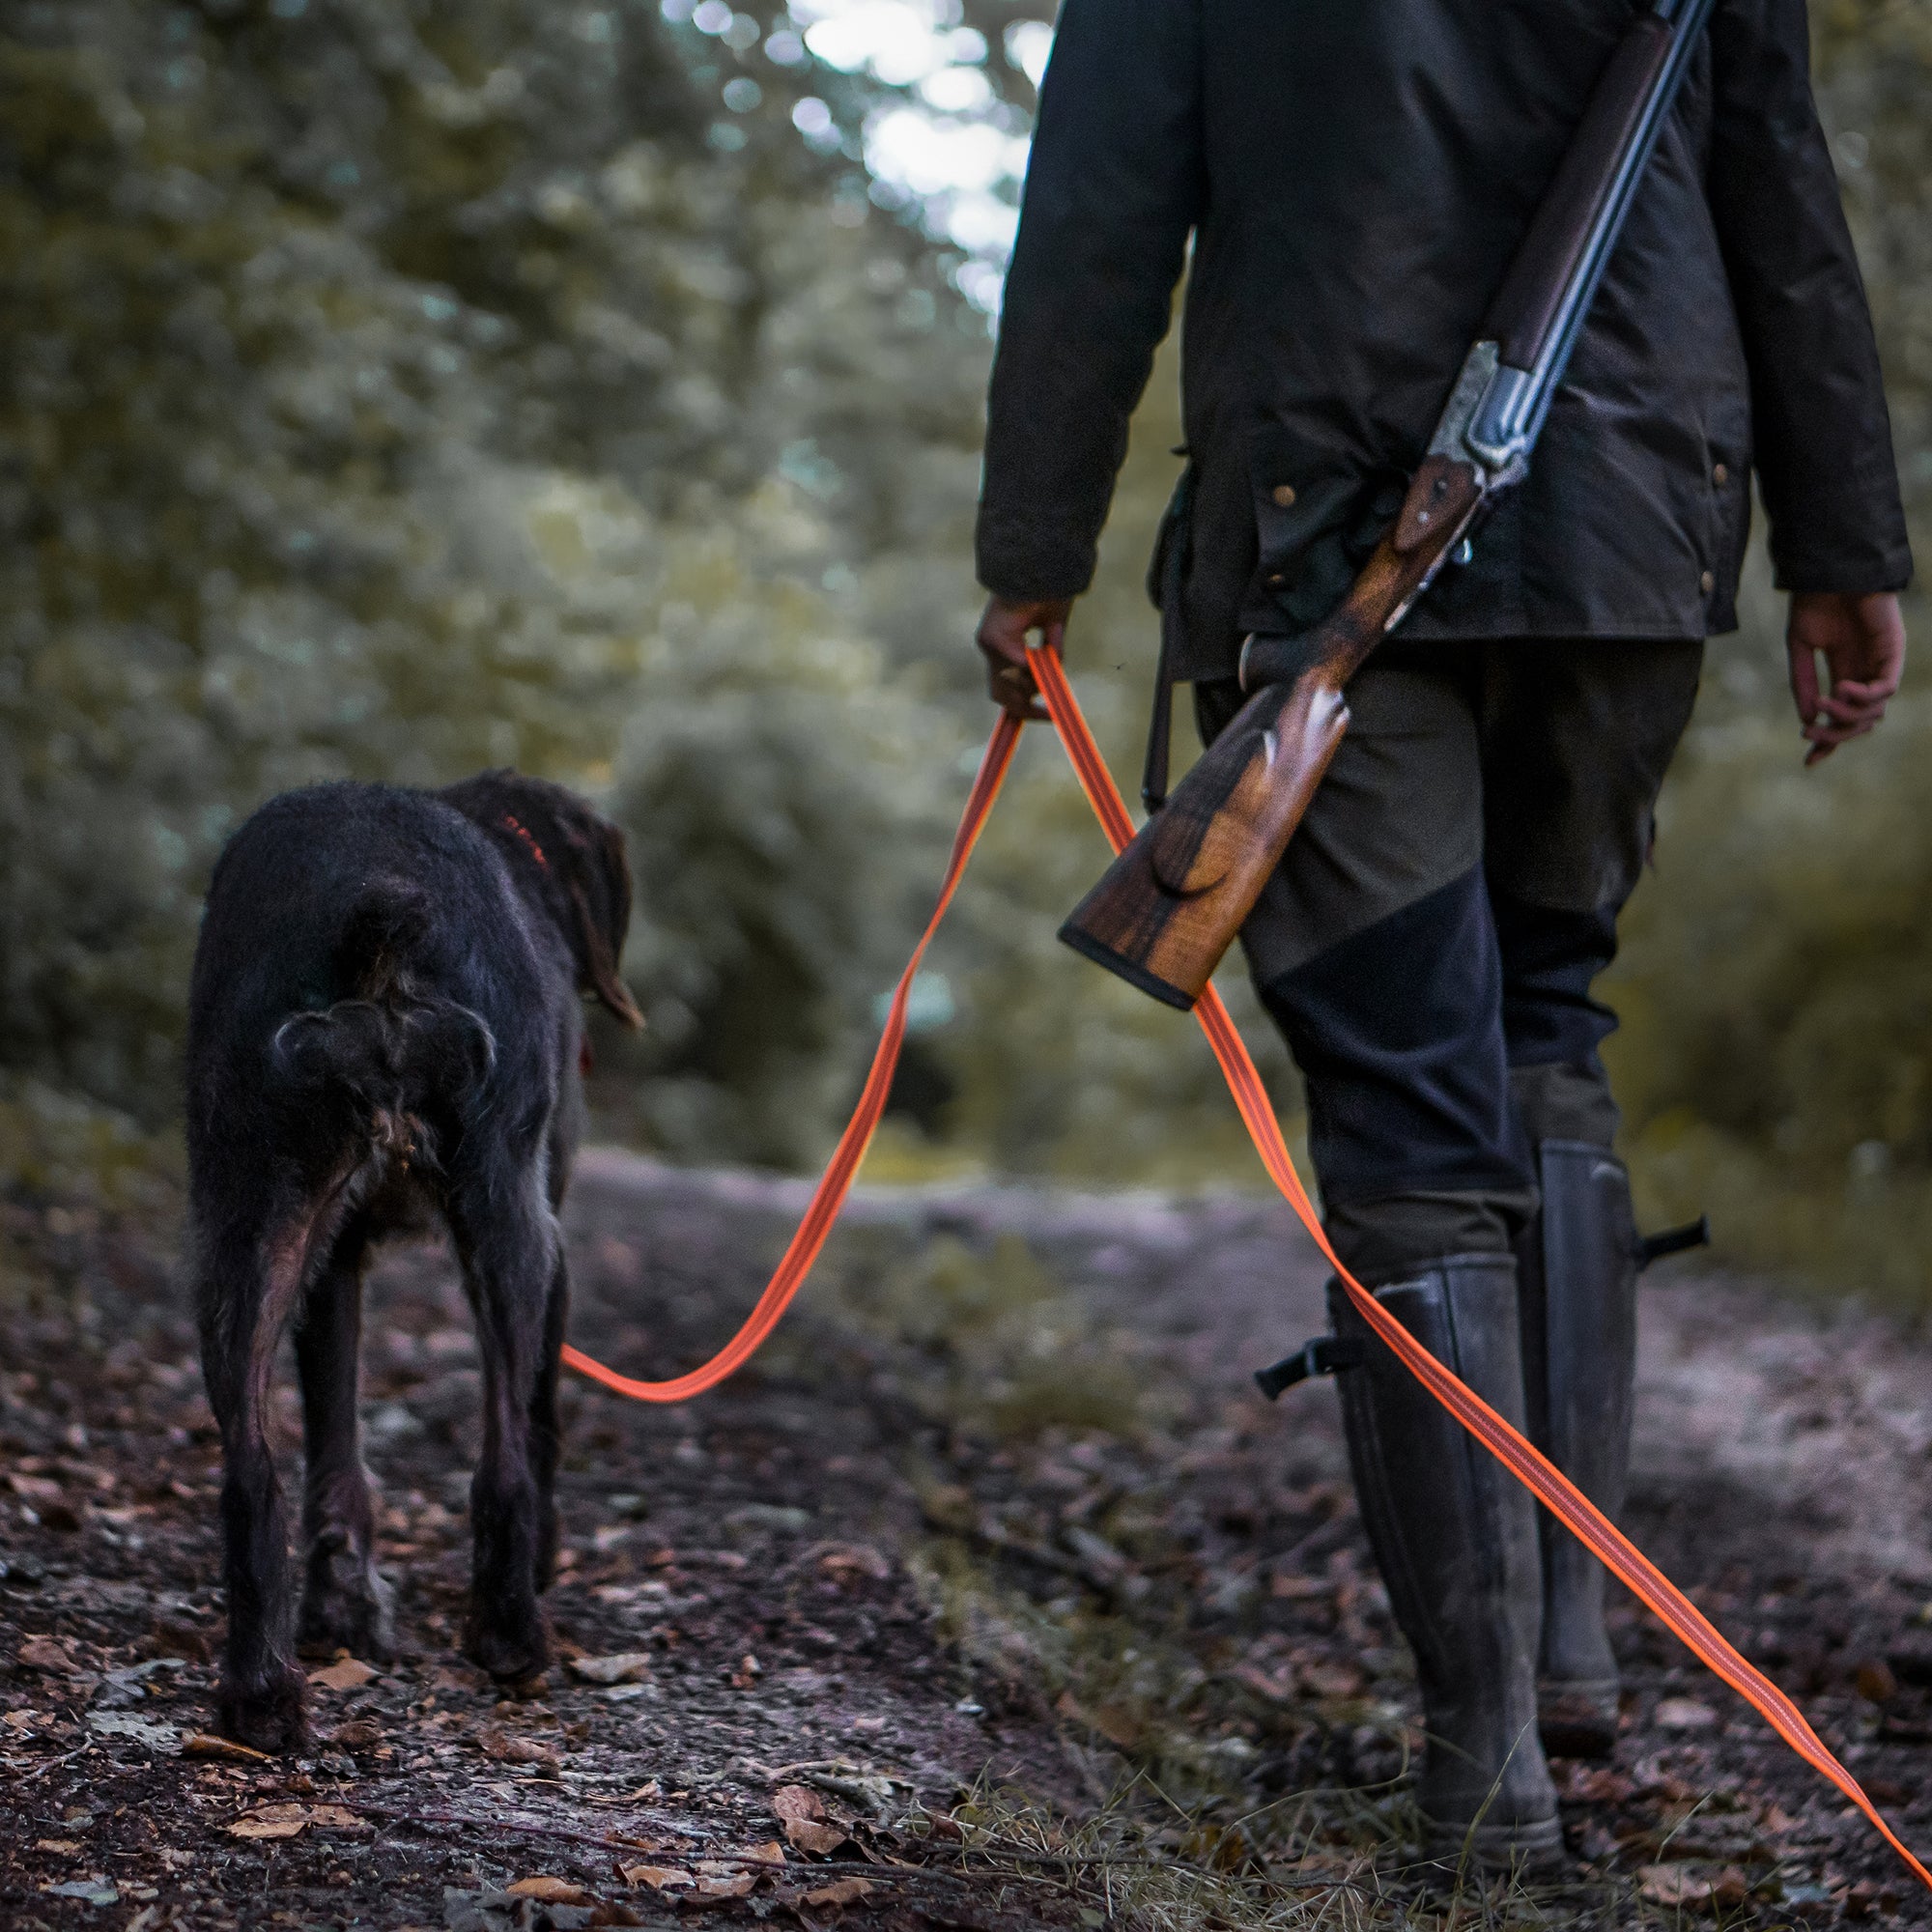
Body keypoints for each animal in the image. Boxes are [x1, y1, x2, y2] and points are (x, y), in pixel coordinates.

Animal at [185, 765, 645, 1754]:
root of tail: (378, 890)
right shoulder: (552, 1238)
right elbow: (540, 1415)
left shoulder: (334, 1259)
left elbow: (334, 1441)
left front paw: (341, 1609)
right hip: (511, 1222)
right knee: (505, 1456)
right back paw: (511, 1635)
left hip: (247, 1228)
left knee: (252, 1471)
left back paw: (260, 1695)